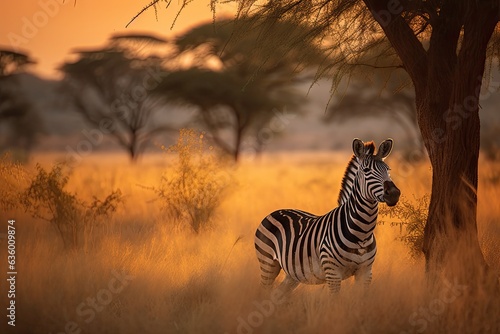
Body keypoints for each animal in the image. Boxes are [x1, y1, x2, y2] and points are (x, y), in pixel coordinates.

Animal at [256, 137, 400, 294]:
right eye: (367, 170)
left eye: (388, 169)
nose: (394, 193)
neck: (362, 232)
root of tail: (276, 211)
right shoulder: (333, 273)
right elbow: (335, 300)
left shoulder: (366, 272)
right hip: (268, 264)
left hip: (293, 274)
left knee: (276, 295)